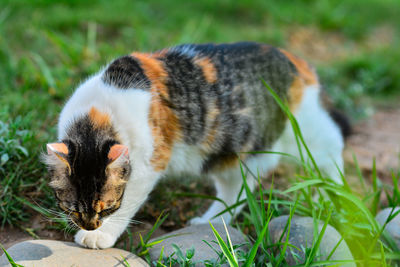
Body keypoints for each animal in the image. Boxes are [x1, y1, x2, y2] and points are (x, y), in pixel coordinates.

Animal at [42, 42, 346, 249]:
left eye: (106, 208)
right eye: (71, 208)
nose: (89, 224)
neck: (97, 118)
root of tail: (293, 59)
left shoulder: (148, 165)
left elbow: (129, 203)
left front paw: (100, 236)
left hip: (306, 132)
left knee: (332, 150)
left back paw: (335, 194)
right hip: (229, 156)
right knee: (237, 190)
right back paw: (212, 221)